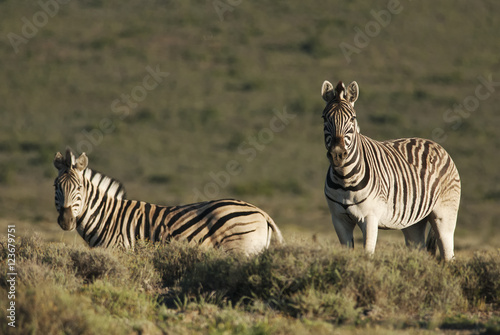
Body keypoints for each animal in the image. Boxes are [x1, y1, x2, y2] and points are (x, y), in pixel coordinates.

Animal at [320, 80, 460, 262]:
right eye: (324, 118)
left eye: (352, 118)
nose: (337, 154)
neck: (344, 179)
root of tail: (436, 145)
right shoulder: (339, 220)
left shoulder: (370, 218)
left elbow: (367, 253)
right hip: (413, 222)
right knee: (418, 249)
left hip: (444, 214)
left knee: (448, 253)